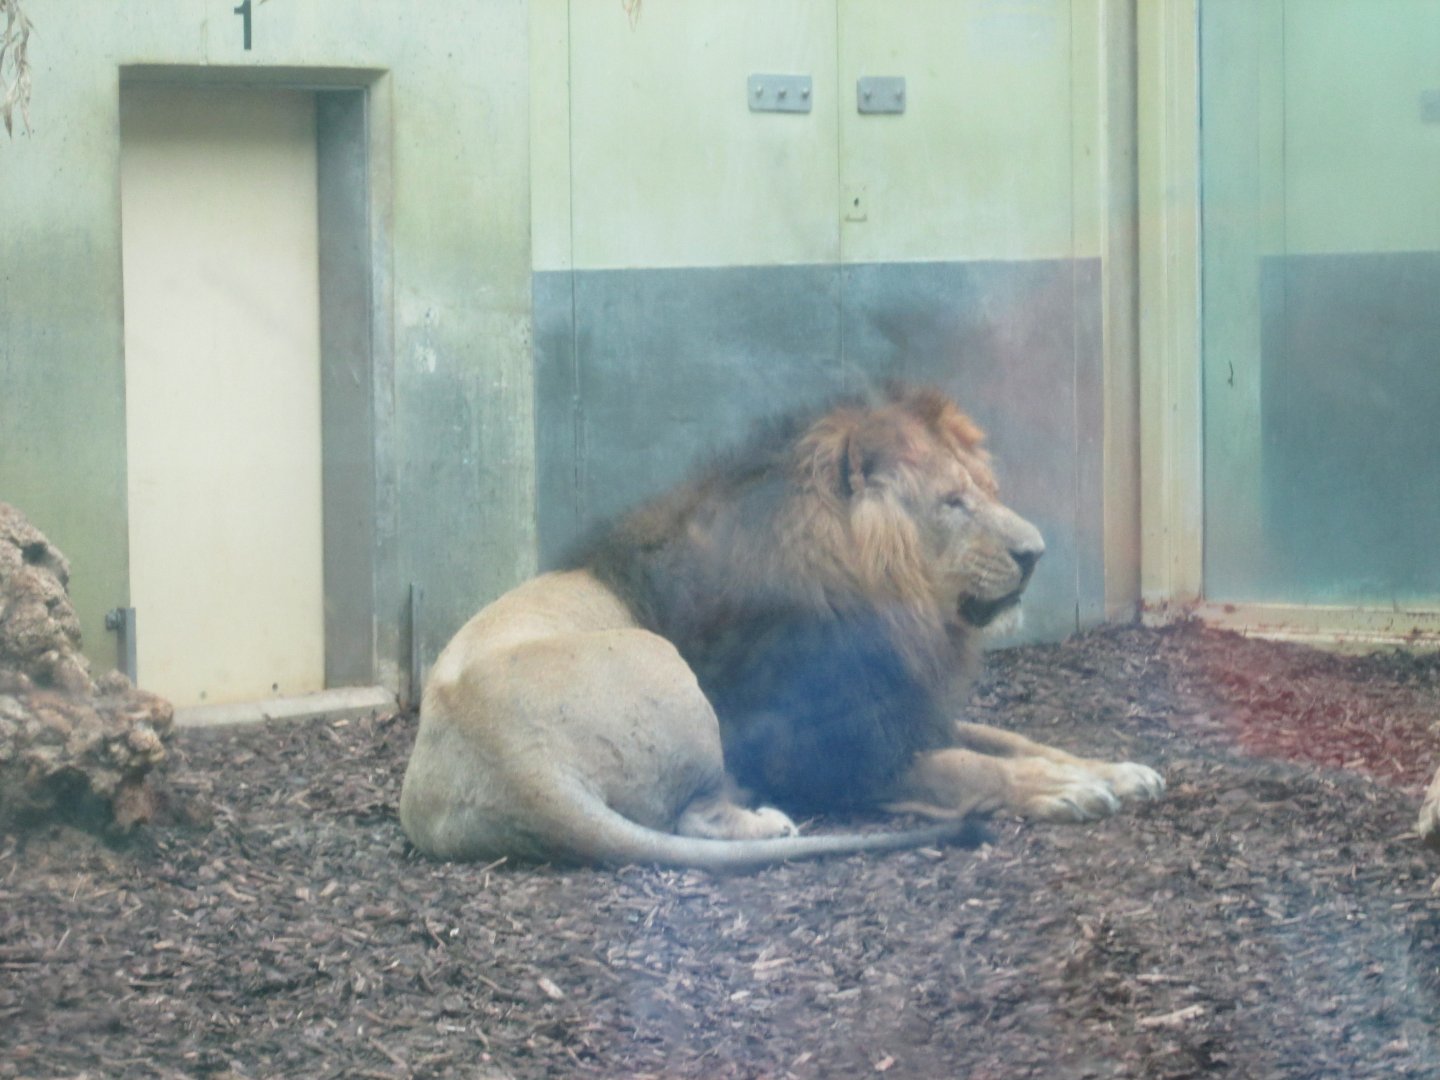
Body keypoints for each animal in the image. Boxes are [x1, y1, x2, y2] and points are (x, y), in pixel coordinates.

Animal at [399, 385, 1164, 870]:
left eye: (985, 492)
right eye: (952, 503)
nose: (1036, 552)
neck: (890, 608)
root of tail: (511, 763)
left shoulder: (900, 708)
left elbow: (1014, 740)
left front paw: (1116, 770)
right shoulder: (825, 749)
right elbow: (967, 767)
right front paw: (1063, 792)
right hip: (662, 665)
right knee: (692, 817)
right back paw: (766, 820)